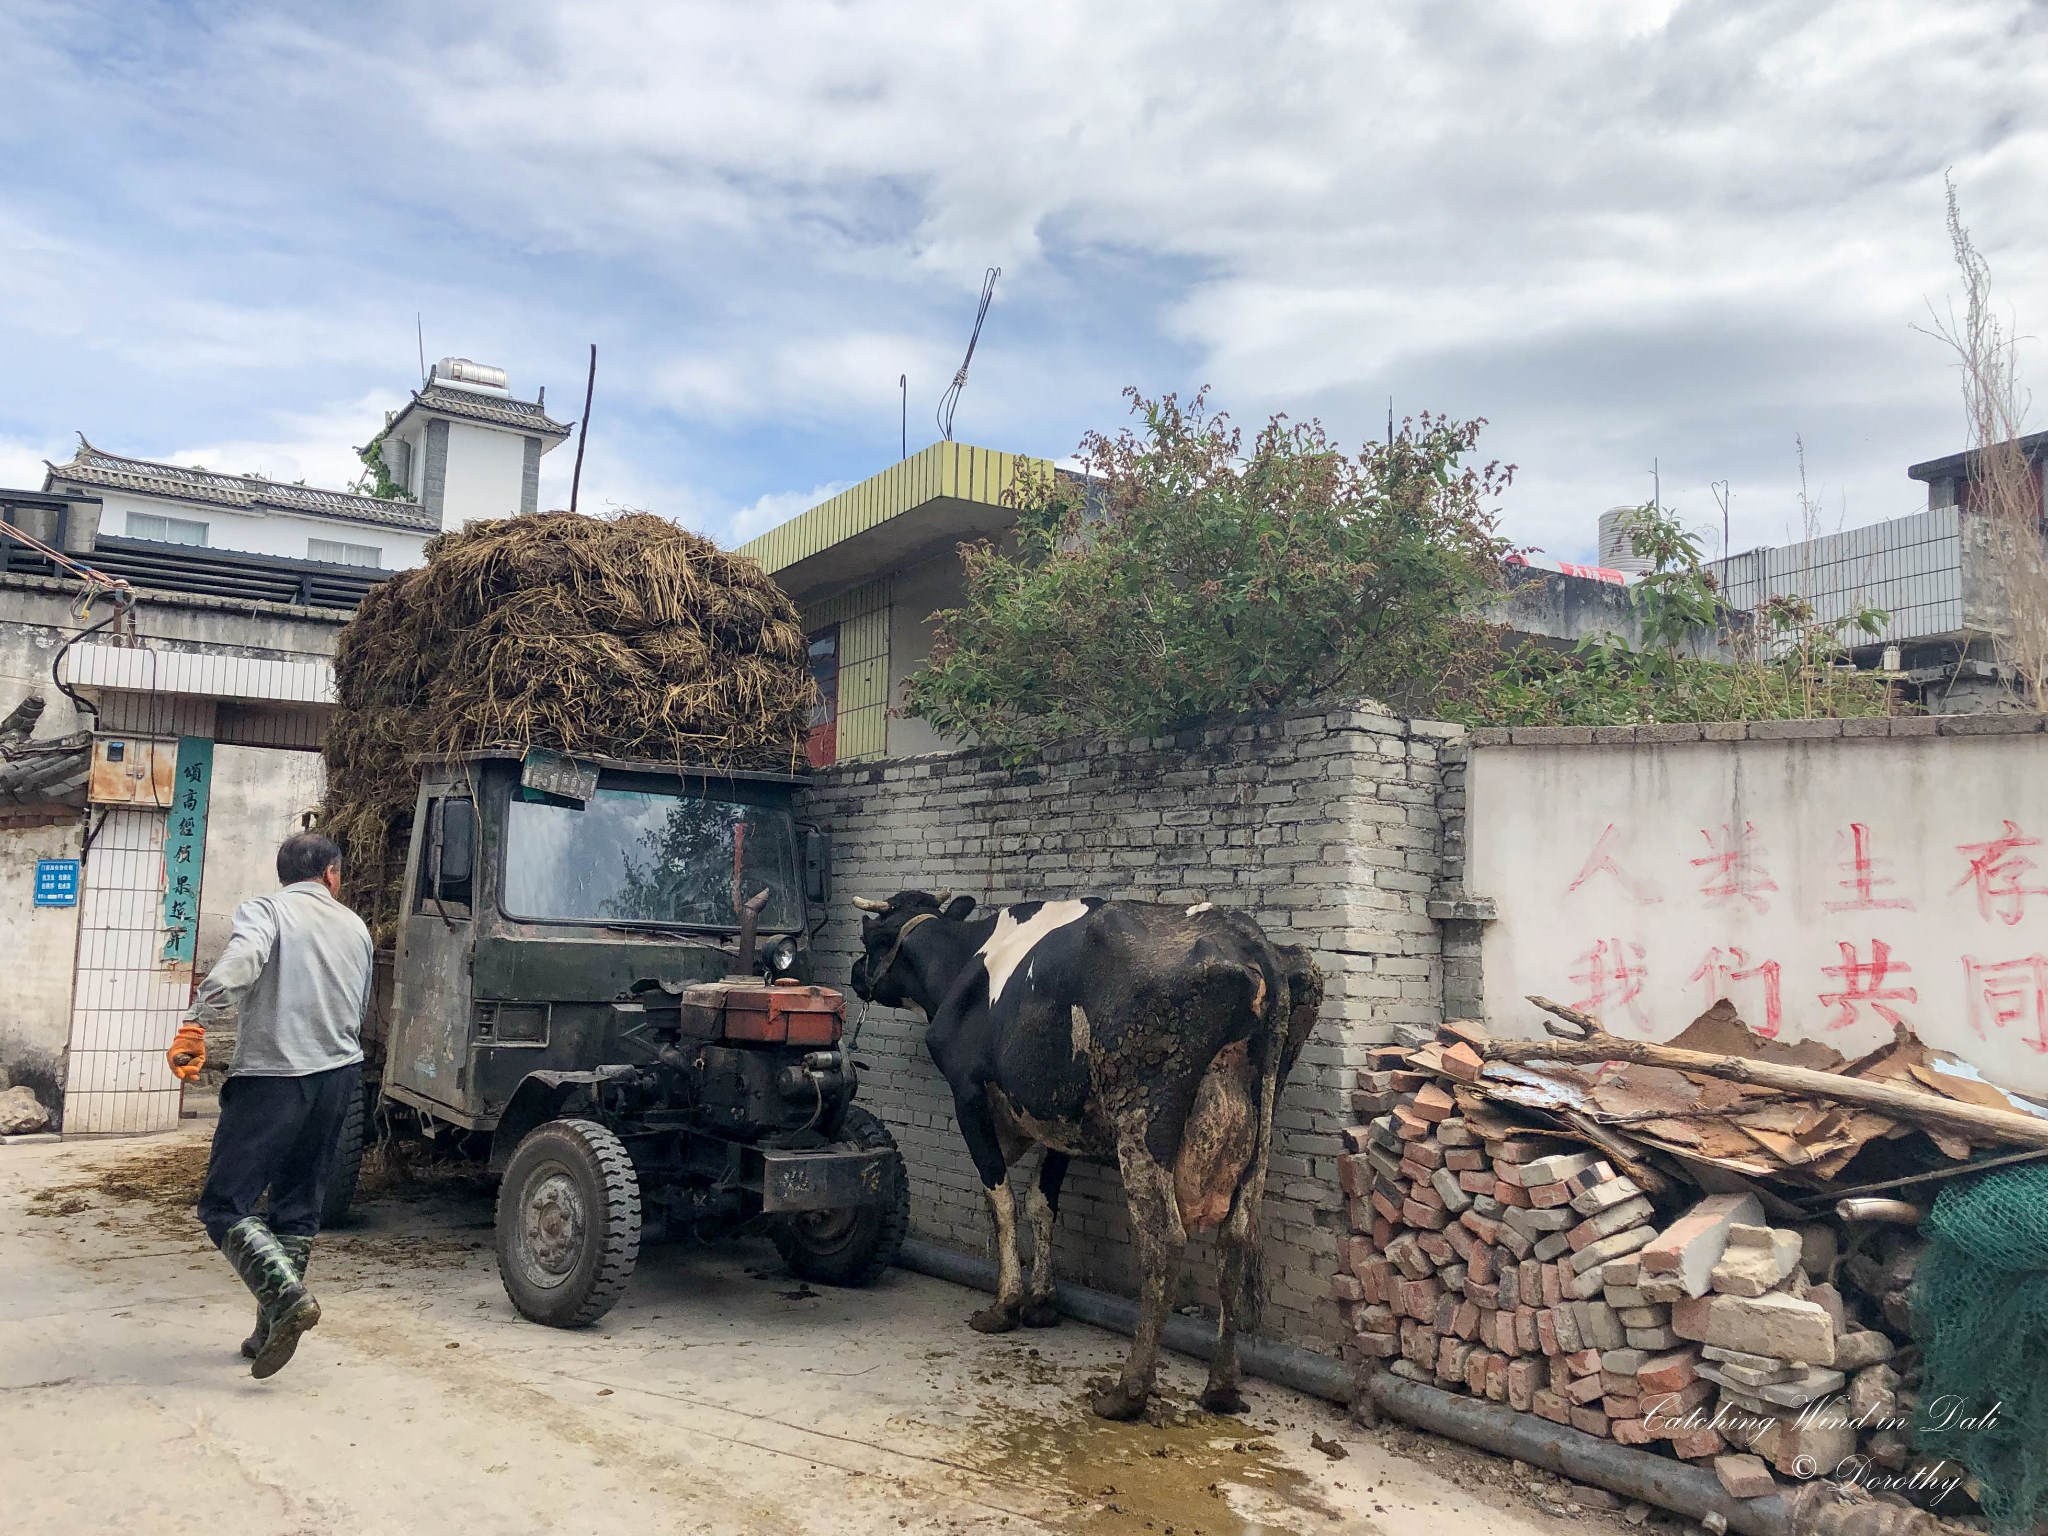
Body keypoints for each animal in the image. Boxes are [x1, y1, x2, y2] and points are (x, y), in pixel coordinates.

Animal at [851, 897, 1318, 1425]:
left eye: (871, 937)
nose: (853, 973)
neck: (963, 959)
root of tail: (1248, 938)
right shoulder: (1060, 1116)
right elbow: (1041, 1201)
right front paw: (1042, 1301)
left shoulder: (968, 1095)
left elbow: (1002, 1201)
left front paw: (1005, 1305)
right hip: (1258, 1129)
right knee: (1235, 1238)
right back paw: (1221, 1387)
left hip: (1142, 1117)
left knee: (1164, 1240)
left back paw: (1128, 1391)